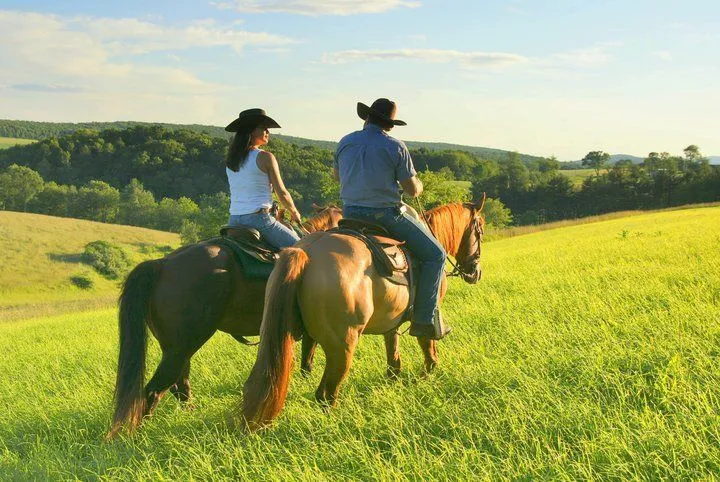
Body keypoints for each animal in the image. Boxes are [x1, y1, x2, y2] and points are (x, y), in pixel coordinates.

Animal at [107, 203, 344, 436]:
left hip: (177, 349)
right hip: (181, 347)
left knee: (179, 385)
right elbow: (308, 362)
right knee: (154, 391)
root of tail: (161, 265)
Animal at [240, 198, 484, 432]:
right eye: (479, 229)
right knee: (326, 394)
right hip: (343, 346)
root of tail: (306, 253)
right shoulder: (430, 309)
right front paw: (427, 374)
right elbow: (428, 345)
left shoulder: (391, 322)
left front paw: (394, 380)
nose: (476, 272)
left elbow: (393, 355)